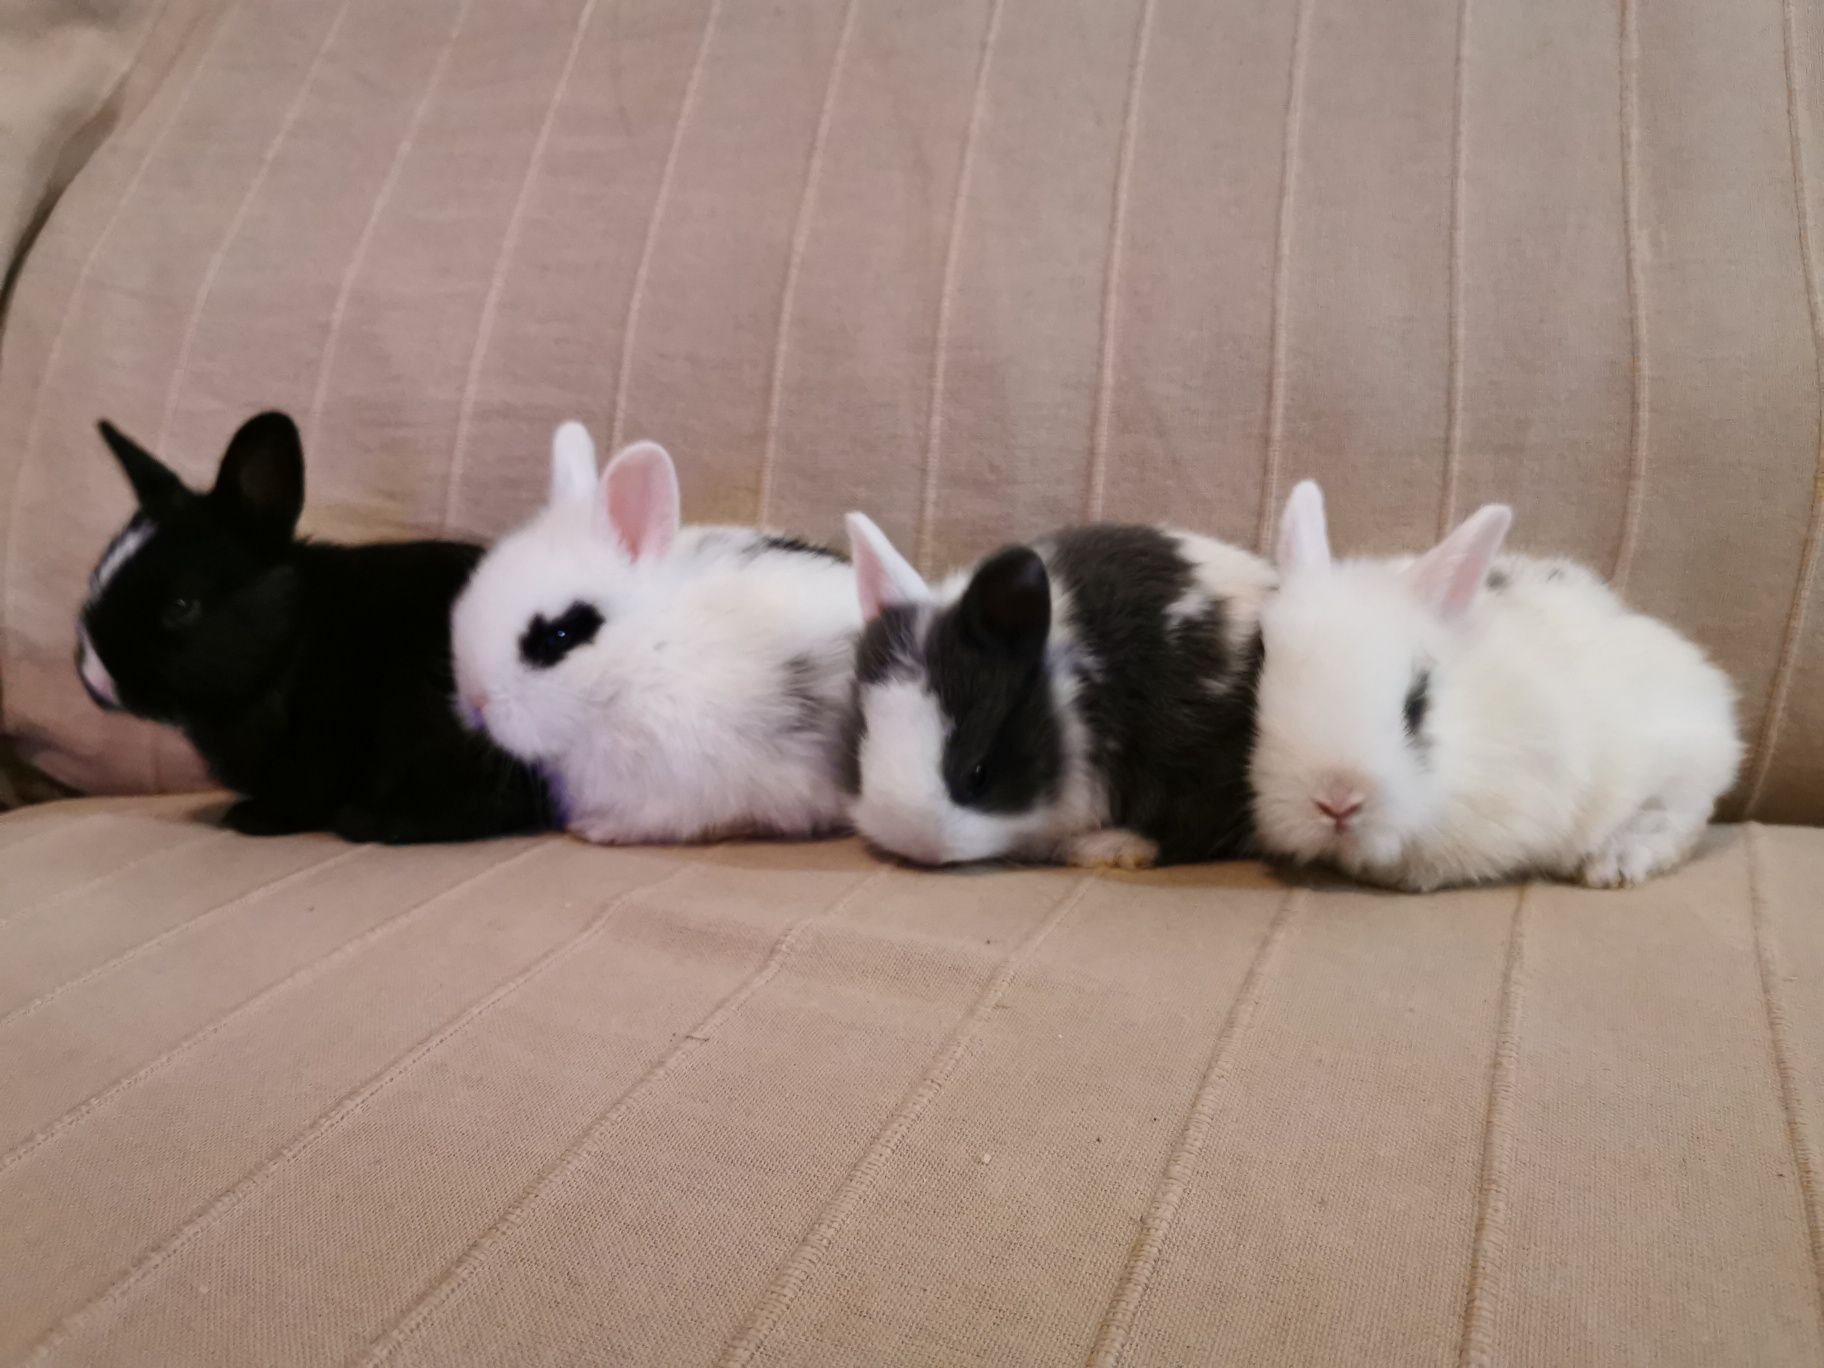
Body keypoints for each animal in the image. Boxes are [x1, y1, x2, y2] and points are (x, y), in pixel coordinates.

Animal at [72, 412, 554, 842]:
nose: (95, 677)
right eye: (95, 577)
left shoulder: (317, 743)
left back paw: (366, 823)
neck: (290, 643)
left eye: (180, 606)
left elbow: (303, 793)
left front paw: (254, 818)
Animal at [1247, 485, 1743, 901]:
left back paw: (1611, 864)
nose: (1337, 802)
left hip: (1680, 767)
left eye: (1417, 706)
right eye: (1255, 700)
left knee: (1674, 820)